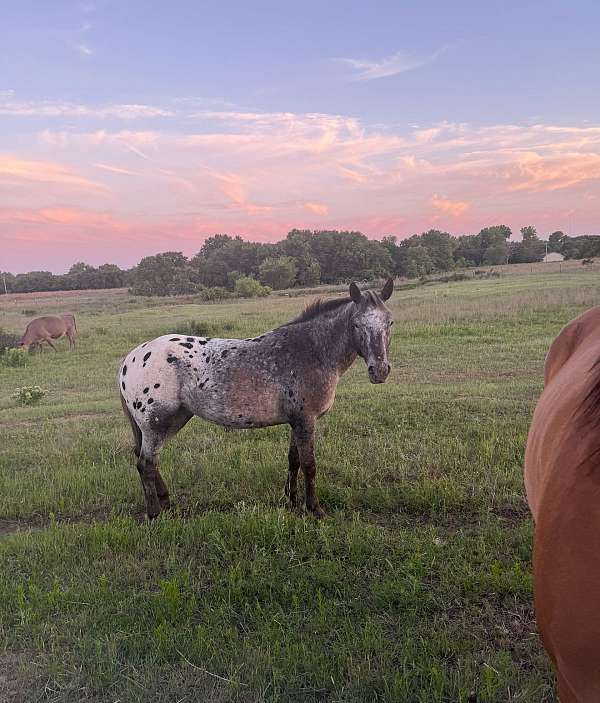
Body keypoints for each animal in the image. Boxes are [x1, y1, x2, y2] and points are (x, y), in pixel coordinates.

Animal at [119, 279, 394, 519]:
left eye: (390, 322)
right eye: (356, 324)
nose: (379, 371)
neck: (312, 351)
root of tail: (130, 359)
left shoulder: (296, 421)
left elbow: (293, 460)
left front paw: (292, 501)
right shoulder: (306, 420)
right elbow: (309, 465)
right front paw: (315, 509)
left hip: (175, 420)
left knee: (151, 461)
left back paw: (167, 504)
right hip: (157, 425)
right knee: (145, 464)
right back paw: (155, 513)